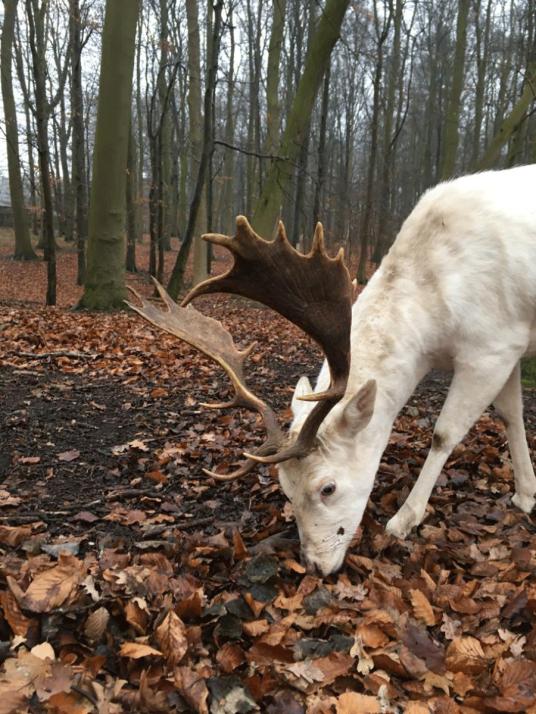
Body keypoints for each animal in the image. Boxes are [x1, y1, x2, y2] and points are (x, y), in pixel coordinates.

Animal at [129, 164, 536, 576]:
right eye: (285, 488)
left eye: (328, 488)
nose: (315, 566)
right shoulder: (510, 346)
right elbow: (510, 414)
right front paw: (526, 495)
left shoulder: (489, 345)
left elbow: (444, 434)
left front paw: (404, 519)